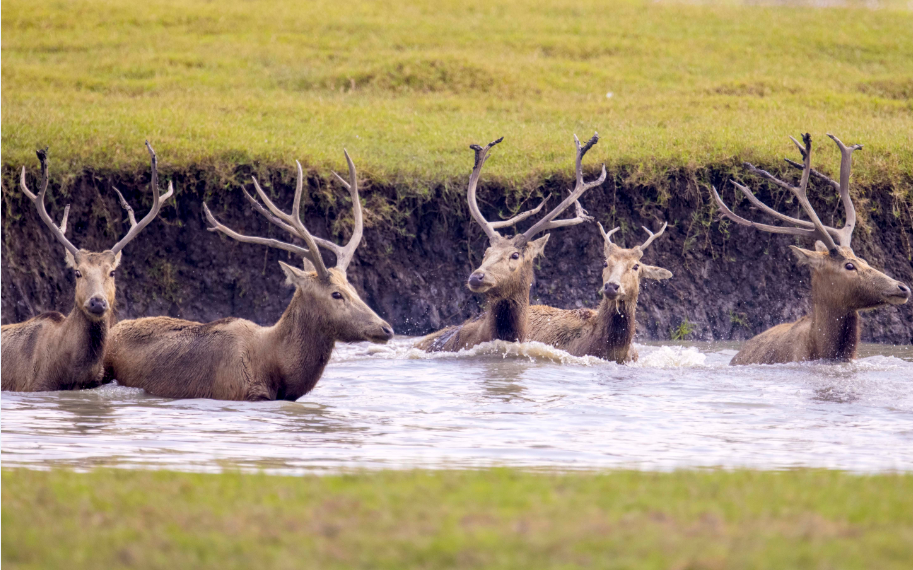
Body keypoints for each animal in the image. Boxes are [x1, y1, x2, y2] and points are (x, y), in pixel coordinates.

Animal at [101, 151, 394, 400]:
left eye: (353, 288)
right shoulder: (241, 392)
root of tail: (115, 327)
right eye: (336, 294)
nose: (387, 328)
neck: (276, 365)